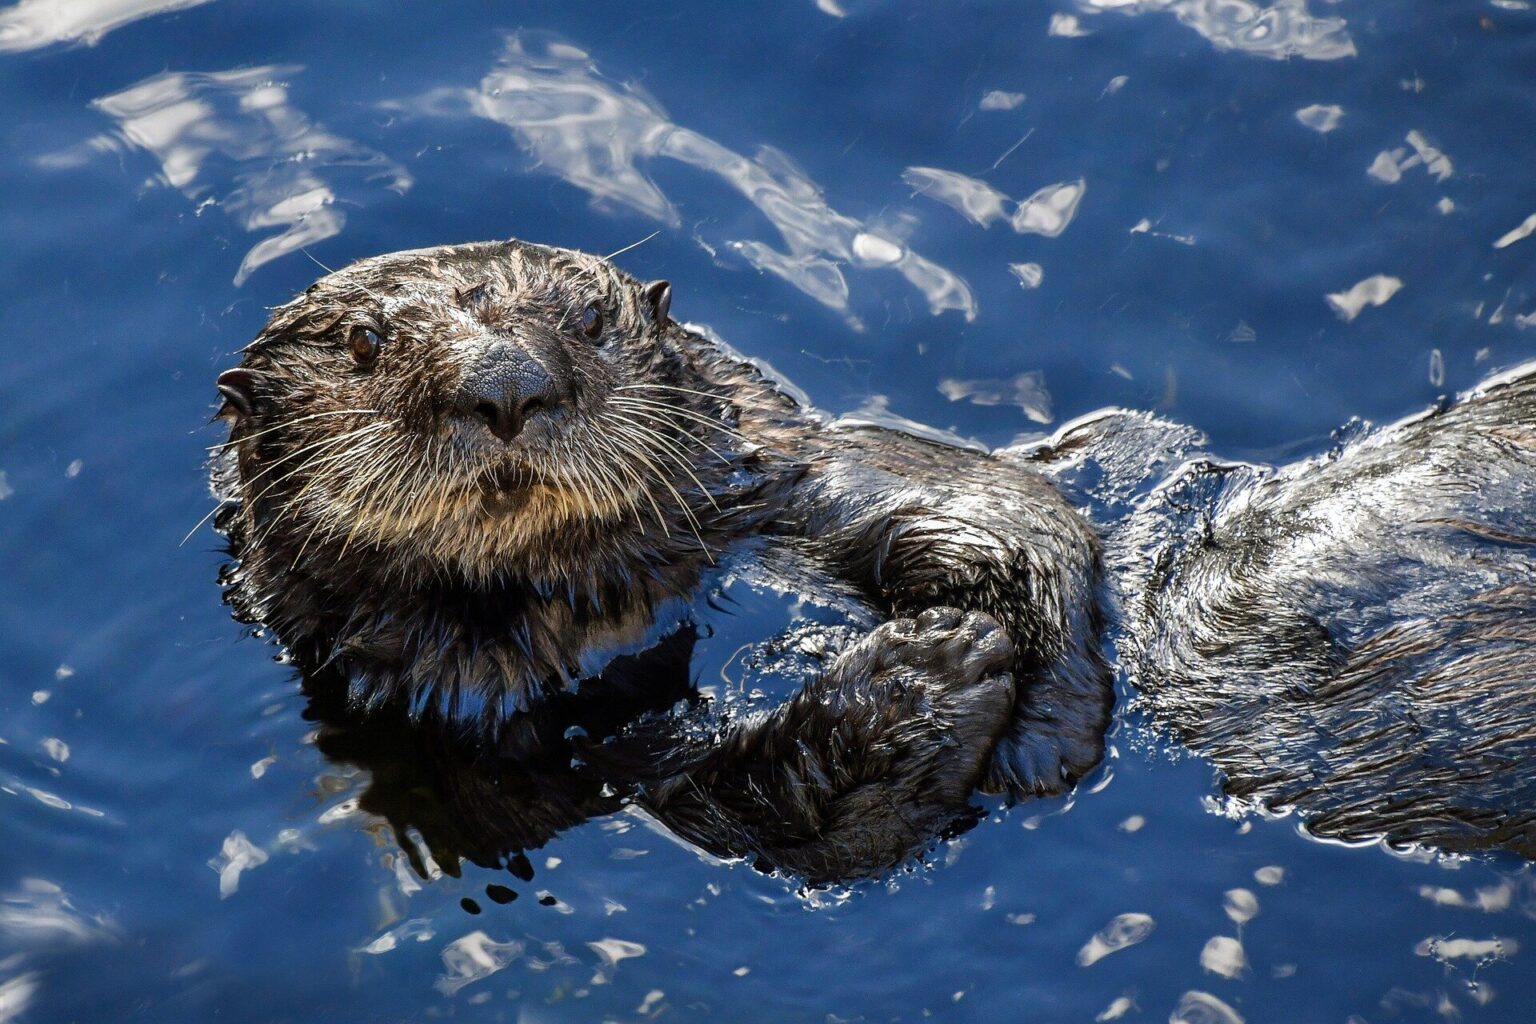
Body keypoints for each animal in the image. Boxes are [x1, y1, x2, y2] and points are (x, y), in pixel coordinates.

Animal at [211, 238, 1536, 881]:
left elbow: (1009, 508)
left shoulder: (788, 471)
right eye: (363, 342)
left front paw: (1010, 662)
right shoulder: (462, 744)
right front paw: (919, 680)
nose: (506, 383)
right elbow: (757, 819)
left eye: (588, 320)